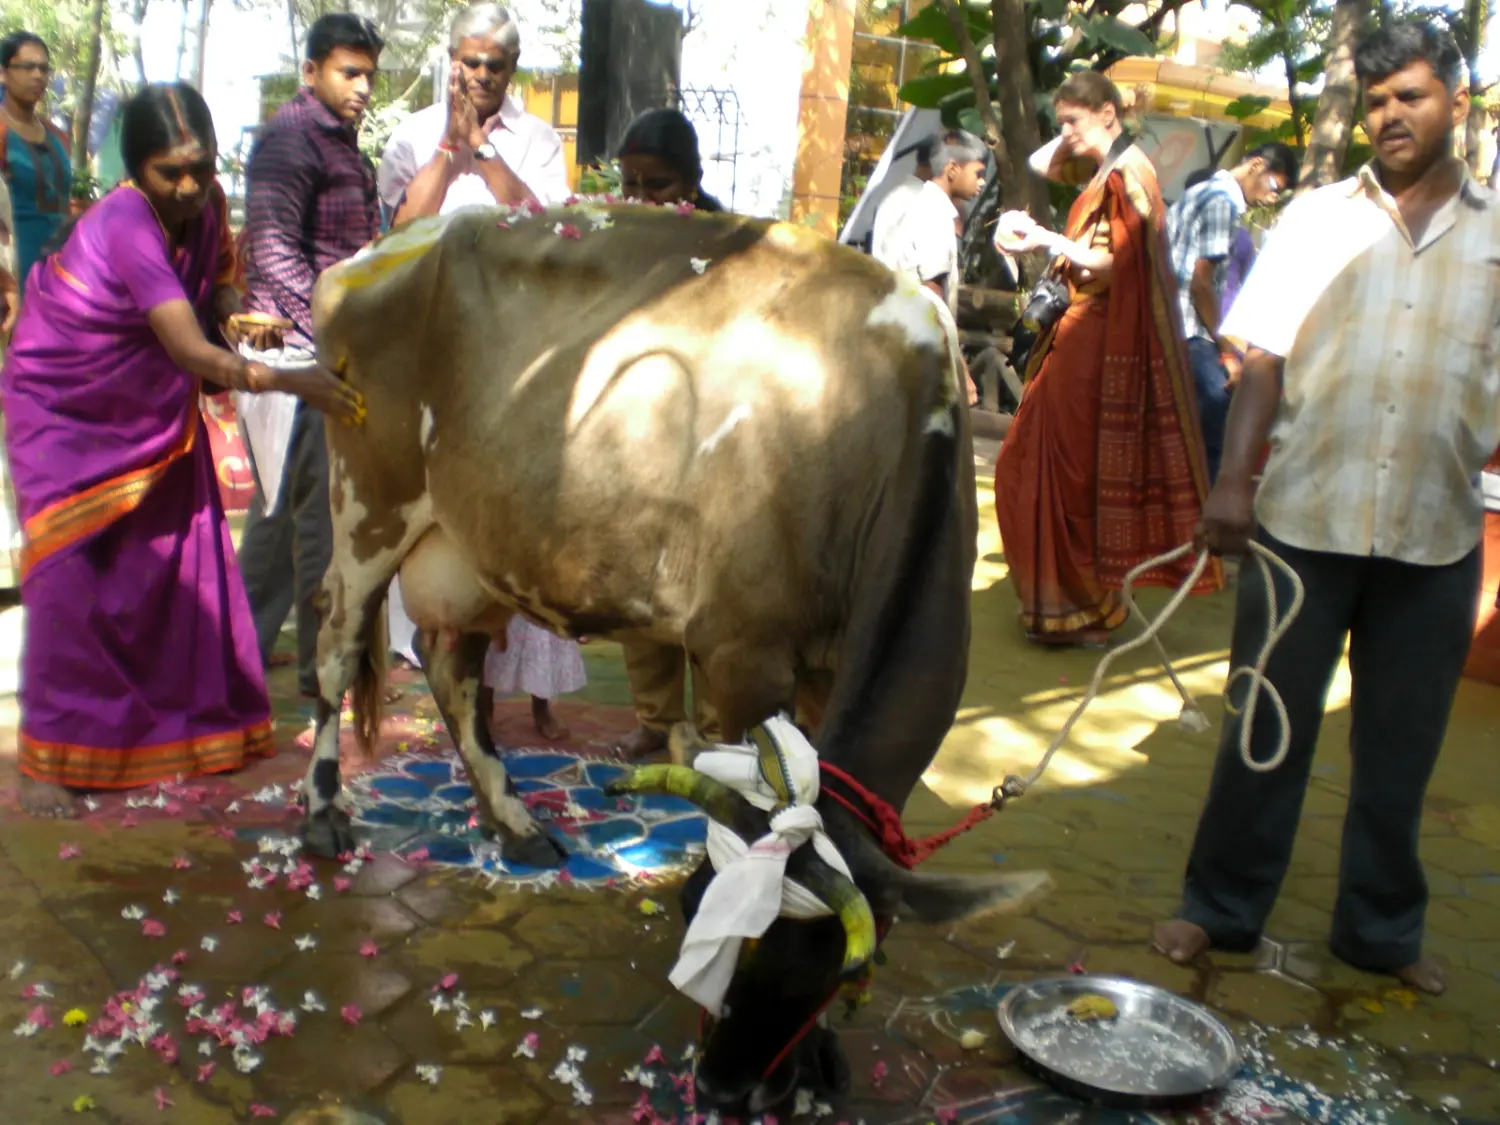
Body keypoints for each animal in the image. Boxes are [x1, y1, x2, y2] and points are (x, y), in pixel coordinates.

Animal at [303, 202, 1050, 1110]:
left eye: (837, 973)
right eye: (701, 913)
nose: (728, 1089)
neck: (876, 420)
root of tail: (385, 245)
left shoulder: (824, 668)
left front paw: (820, 1062)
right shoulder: (741, 653)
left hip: (482, 546)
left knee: (452, 672)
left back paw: (514, 821)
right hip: (366, 506)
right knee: (335, 645)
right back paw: (322, 814)